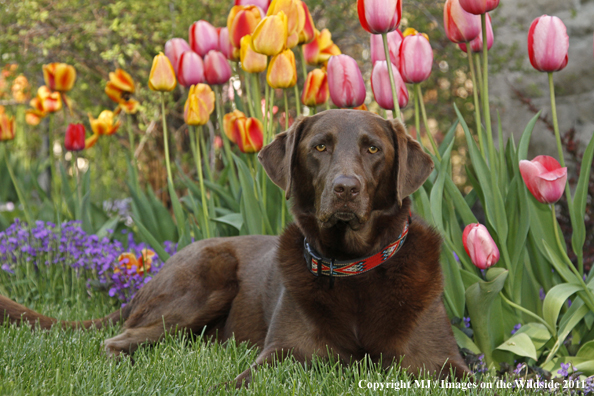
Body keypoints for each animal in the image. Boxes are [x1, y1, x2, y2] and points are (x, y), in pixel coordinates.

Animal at [2, 109, 470, 386]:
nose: (345, 189)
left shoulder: (445, 364)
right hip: (206, 278)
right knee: (118, 342)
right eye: (320, 146)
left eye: (373, 149)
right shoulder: (280, 355)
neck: (353, 266)